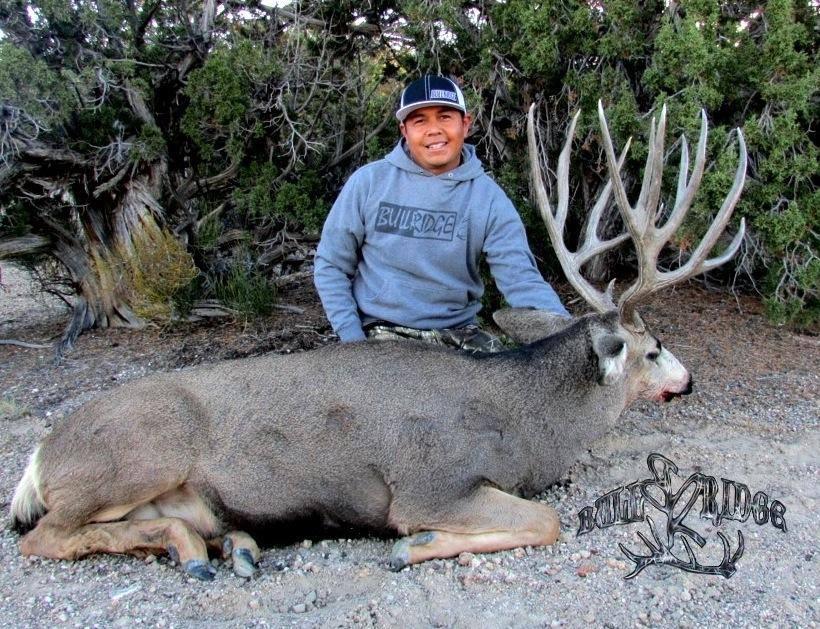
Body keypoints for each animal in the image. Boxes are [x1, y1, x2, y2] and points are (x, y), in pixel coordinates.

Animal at [10, 102, 747, 580]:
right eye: (653, 348)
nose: (689, 380)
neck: (524, 419)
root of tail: (41, 455)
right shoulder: (430, 483)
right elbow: (546, 520)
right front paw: (413, 547)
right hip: (136, 455)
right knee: (41, 536)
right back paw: (195, 553)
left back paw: (226, 545)